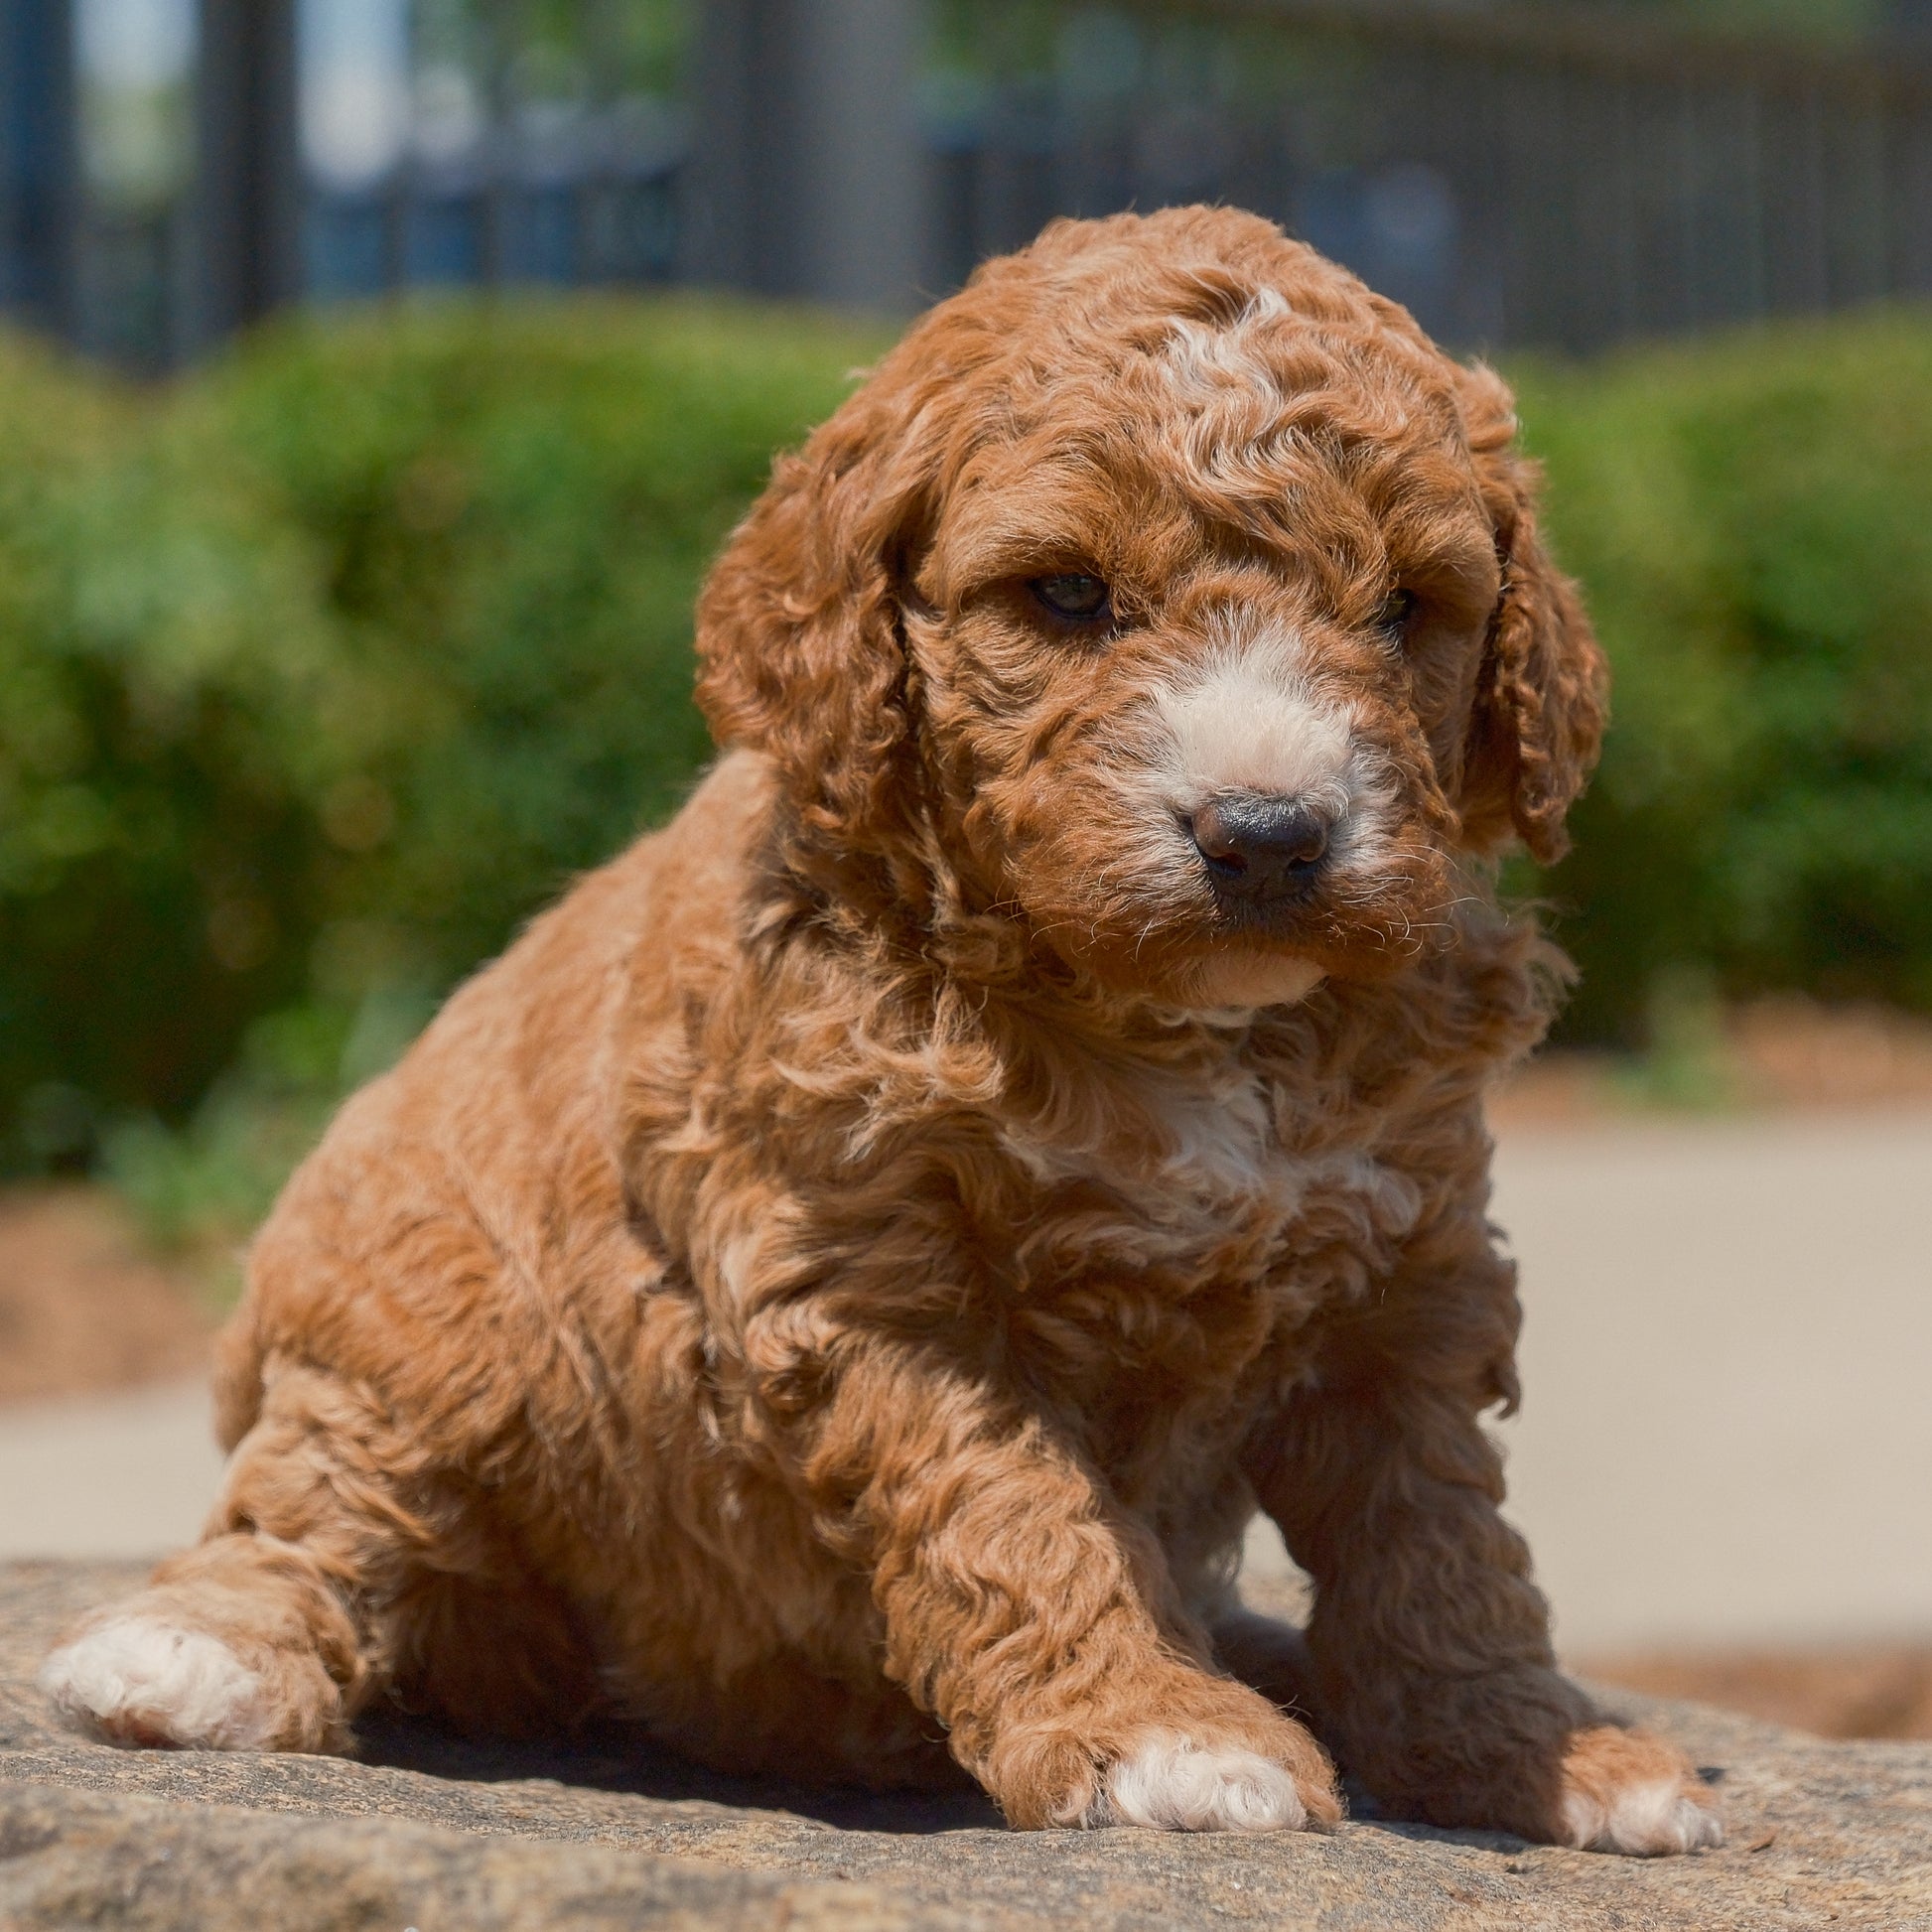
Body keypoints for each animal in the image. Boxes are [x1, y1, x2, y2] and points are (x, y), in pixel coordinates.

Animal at [41, 211, 1723, 1855]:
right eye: (1065, 595)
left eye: (1405, 609)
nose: (1264, 835)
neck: (1189, 1028)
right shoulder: (865, 1275)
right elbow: (1013, 1507)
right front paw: (1156, 1729)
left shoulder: (1405, 1279)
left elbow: (1438, 1543)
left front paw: (1531, 1749)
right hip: (408, 1335)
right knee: (318, 1515)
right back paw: (188, 1656)